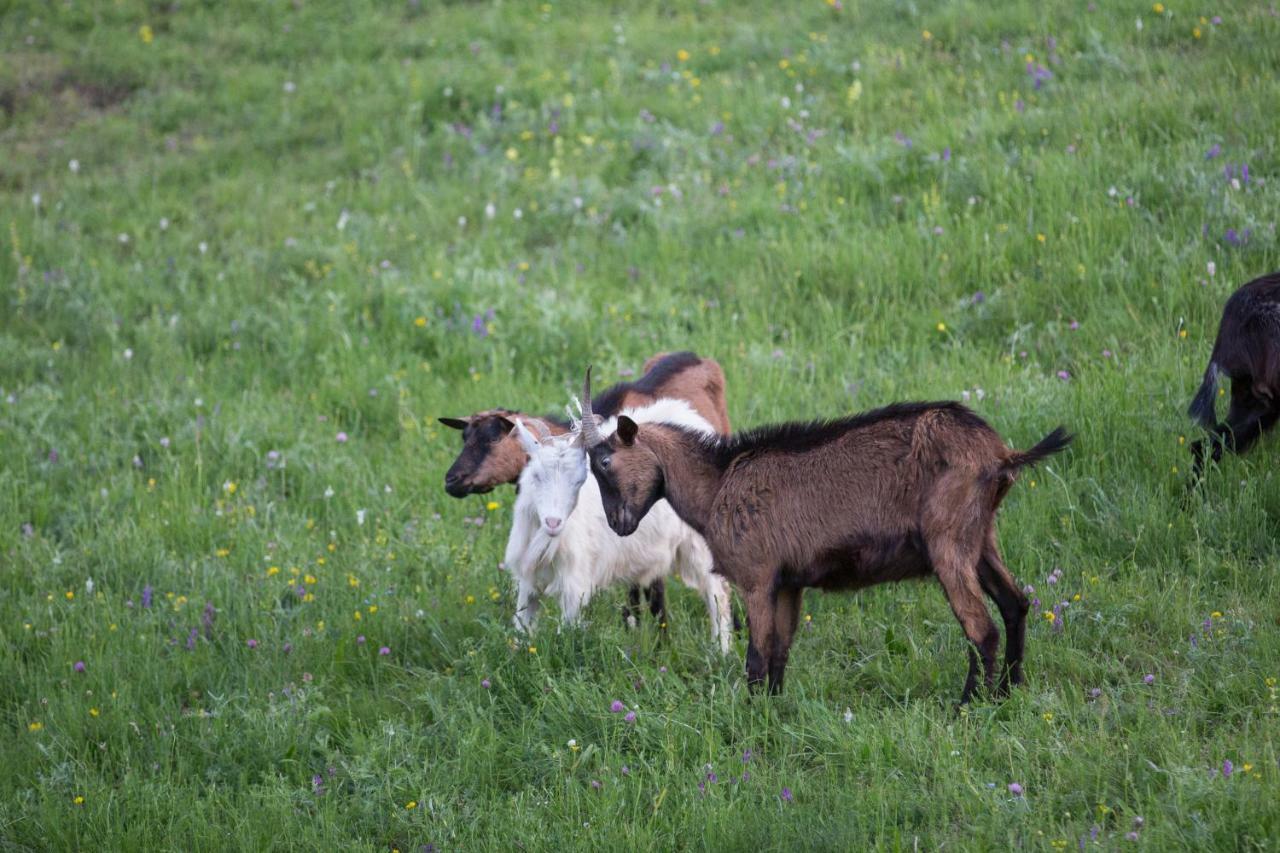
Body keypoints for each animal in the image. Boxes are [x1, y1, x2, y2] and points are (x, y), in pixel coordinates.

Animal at [504, 399, 737, 650]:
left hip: (699, 544)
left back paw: (720, 650)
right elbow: (521, 630)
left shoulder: (574, 586)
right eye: (536, 476)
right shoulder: (528, 583)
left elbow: (565, 637)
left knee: (717, 594)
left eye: (579, 481)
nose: (553, 522)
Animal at [581, 368, 1070, 701]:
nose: (618, 523)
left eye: (604, 462)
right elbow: (780, 652)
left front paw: (749, 720)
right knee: (1015, 603)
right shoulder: (788, 582)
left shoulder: (757, 577)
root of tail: (1001, 455)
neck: (718, 482)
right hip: (981, 537)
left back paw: (969, 705)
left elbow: (756, 657)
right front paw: (773, 711)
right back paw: (1008, 693)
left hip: (948, 541)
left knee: (981, 628)